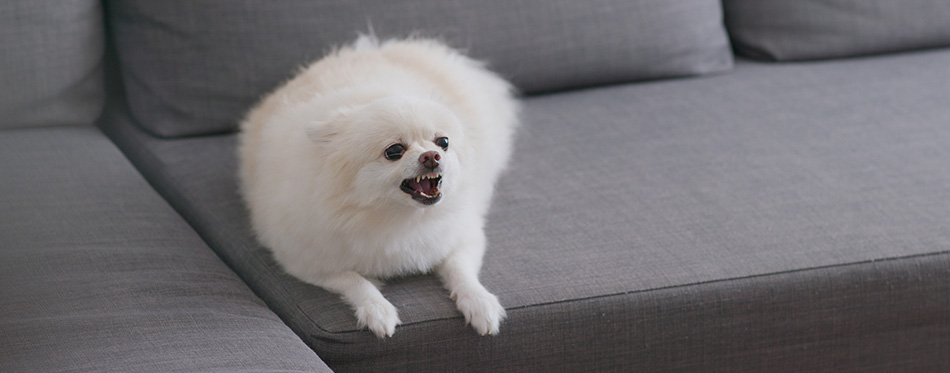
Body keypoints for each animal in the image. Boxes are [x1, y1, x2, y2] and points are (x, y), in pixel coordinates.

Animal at [238, 35, 520, 338]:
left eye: (443, 142)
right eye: (394, 151)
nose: (431, 156)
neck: (399, 217)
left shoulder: (462, 235)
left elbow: (460, 269)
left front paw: (479, 302)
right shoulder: (307, 263)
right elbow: (355, 280)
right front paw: (377, 309)